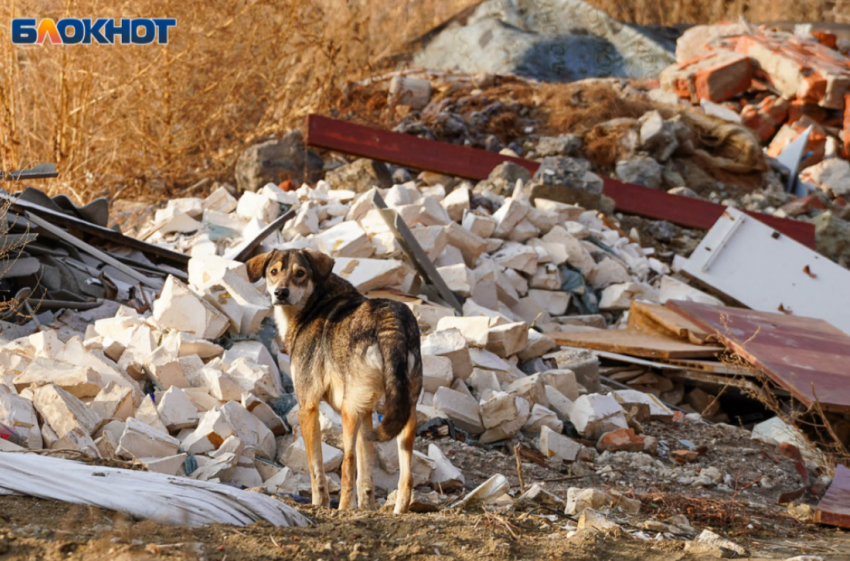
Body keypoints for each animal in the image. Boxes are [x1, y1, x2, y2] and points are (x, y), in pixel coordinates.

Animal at [245, 246, 420, 512]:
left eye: (300, 273)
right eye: (273, 272)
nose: (280, 293)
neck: (313, 303)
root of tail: (391, 322)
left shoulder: (307, 406)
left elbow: (316, 467)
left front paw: (320, 504)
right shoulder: (366, 412)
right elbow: (366, 473)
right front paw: (366, 508)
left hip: (349, 412)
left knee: (348, 462)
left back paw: (343, 509)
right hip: (405, 411)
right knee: (406, 474)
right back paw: (398, 510)